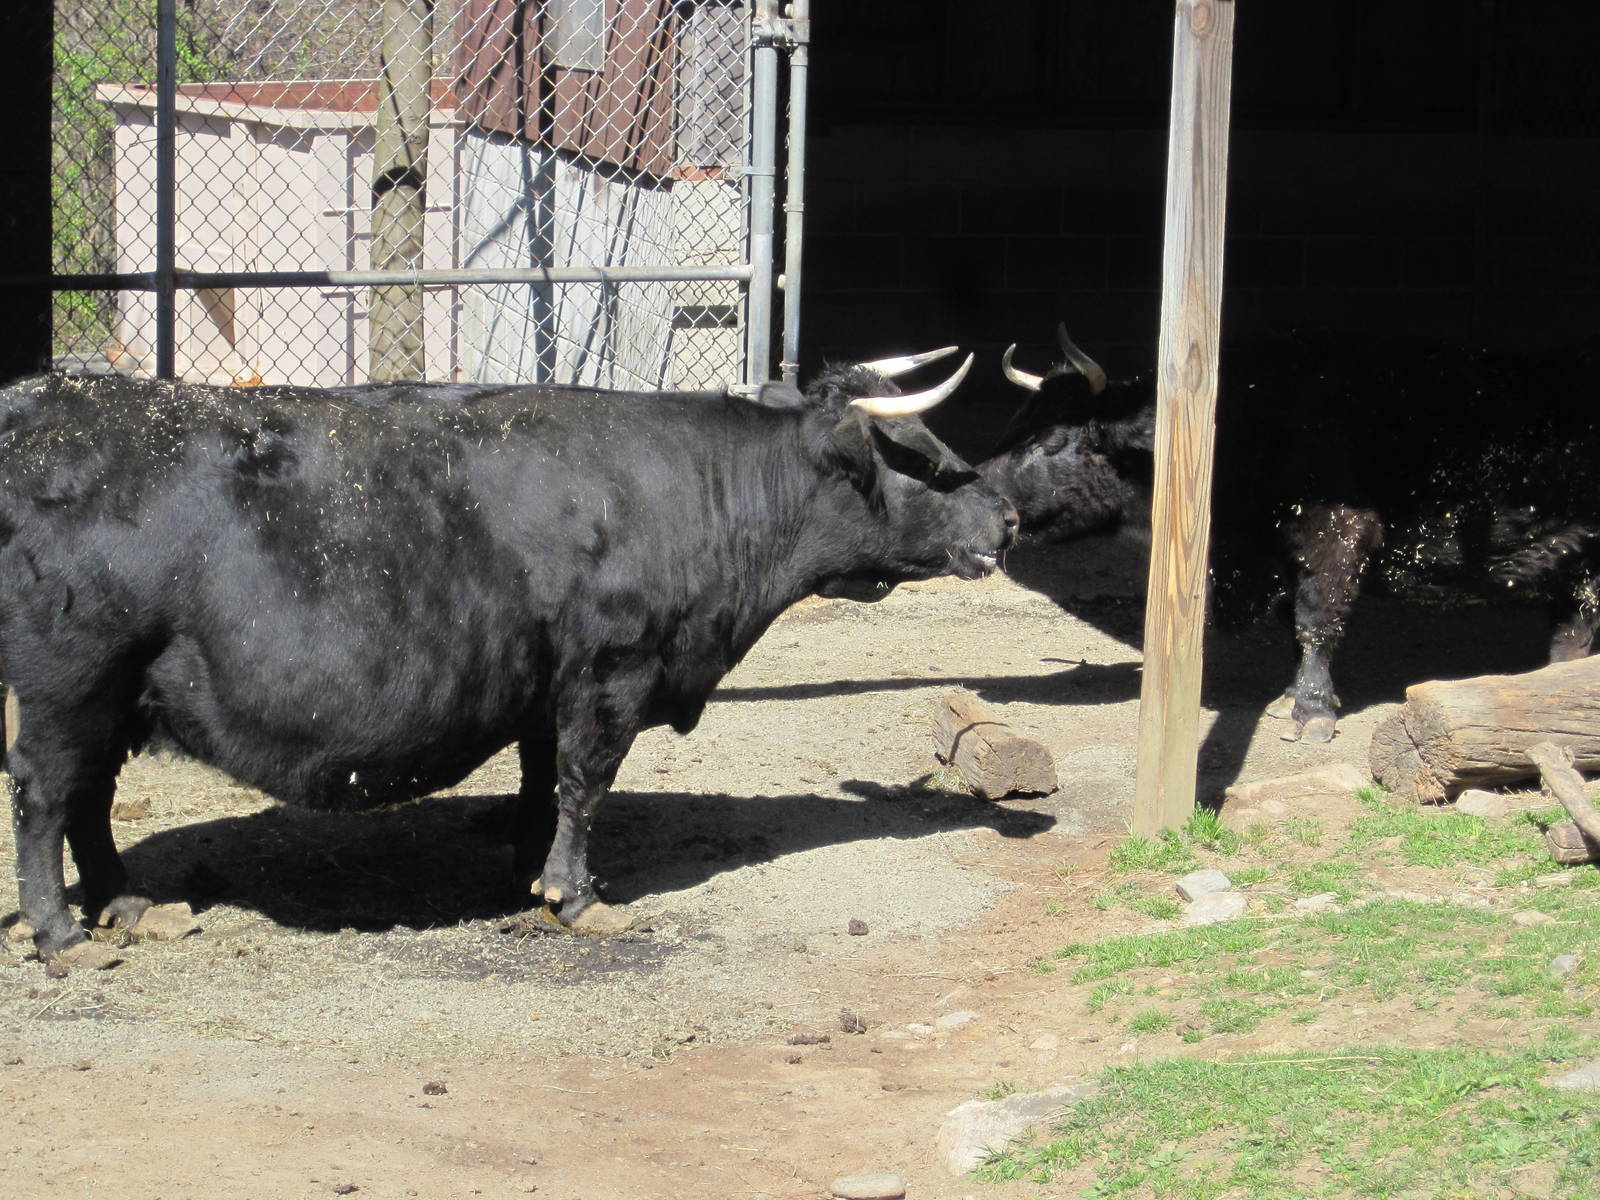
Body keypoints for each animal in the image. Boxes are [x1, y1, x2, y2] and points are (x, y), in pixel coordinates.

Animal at [0, 355, 1018, 963]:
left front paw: (532, 870)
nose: (1007, 515)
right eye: (922, 456)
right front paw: (577, 896)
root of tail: (38, 401)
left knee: (88, 798)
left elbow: (541, 781)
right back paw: (61, 933)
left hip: (115, 695)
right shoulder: (613, 670)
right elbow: (585, 780)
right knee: (47, 795)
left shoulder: (547, 682)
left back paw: (129, 906)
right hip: (68, 683)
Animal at [980, 324, 1600, 742]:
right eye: (1013, 424)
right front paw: (1288, 697)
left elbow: (1316, 622)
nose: (982, 500)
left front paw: (1311, 709)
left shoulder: (1337, 541)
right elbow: (1295, 627)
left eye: (1050, 440)